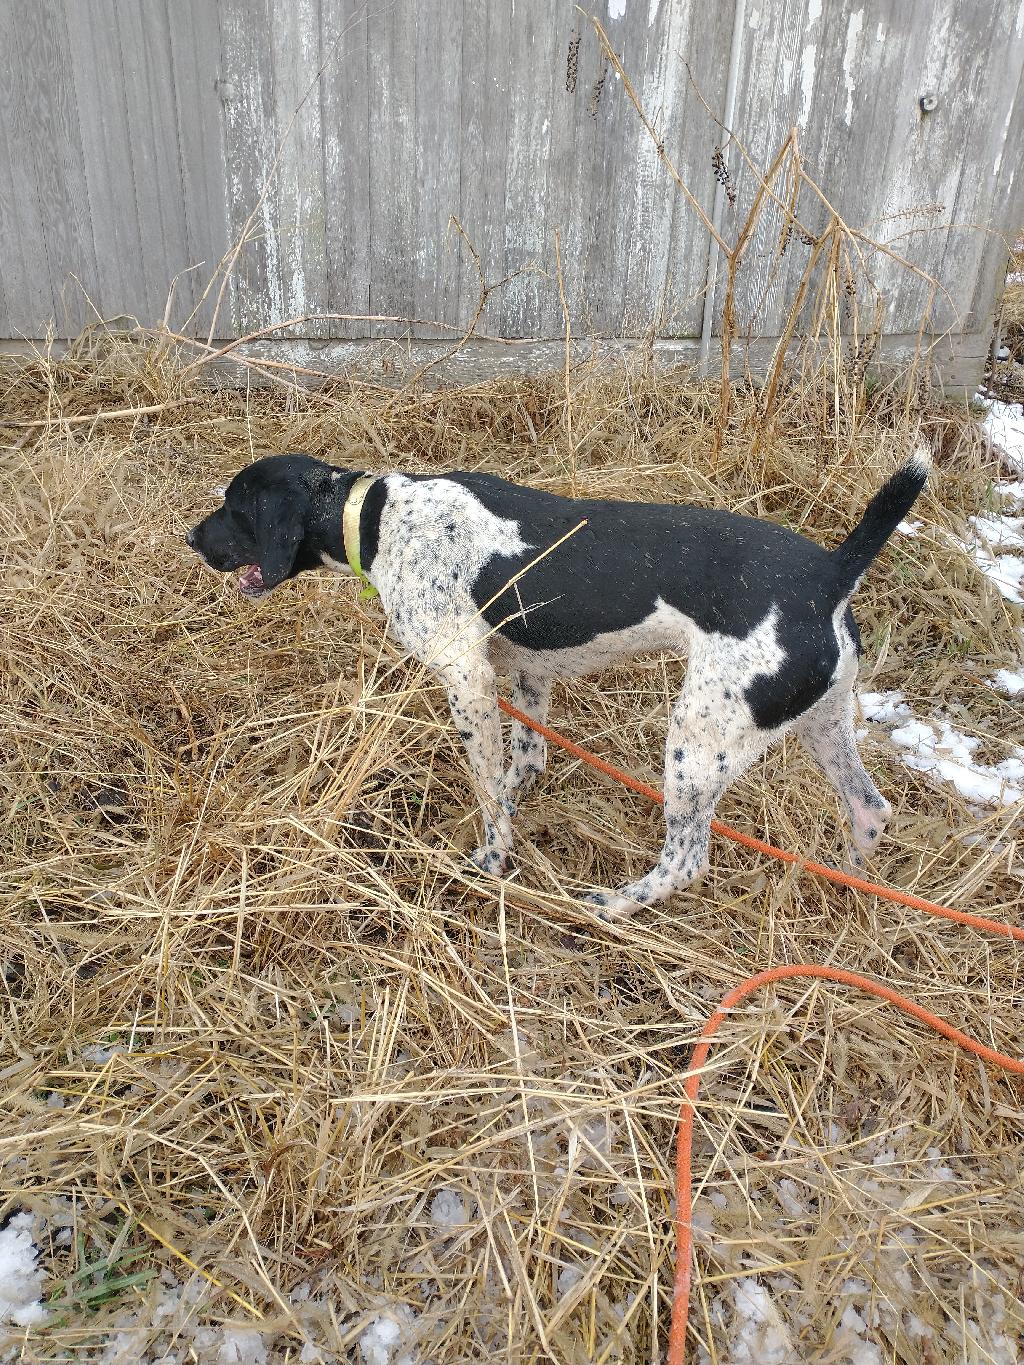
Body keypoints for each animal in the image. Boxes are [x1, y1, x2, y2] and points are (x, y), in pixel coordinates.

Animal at [188, 447, 933, 917]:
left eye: (234, 508)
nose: (190, 539)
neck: (377, 518)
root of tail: (830, 574)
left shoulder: (466, 676)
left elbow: (488, 786)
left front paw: (492, 858)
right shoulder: (524, 674)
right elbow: (523, 759)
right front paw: (519, 799)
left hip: (698, 744)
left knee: (687, 858)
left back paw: (616, 904)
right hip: (821, 724)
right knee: (871, 811)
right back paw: (840, 885)